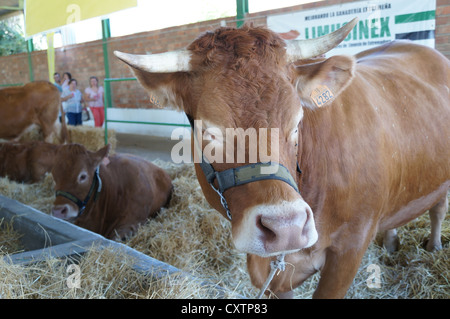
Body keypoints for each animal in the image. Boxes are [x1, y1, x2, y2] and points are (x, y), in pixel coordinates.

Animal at [113, 19, 450, 300]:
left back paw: (434, 246)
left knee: (438, 209)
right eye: (208, 131)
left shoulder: (349, 250)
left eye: (297, 121)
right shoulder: (272, 271)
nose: (286, 227)